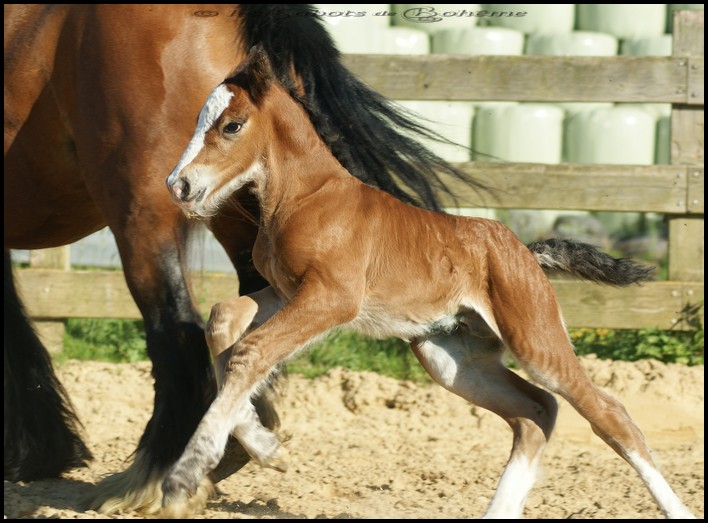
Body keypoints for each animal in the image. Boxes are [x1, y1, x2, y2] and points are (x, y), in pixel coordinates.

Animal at [162, 46, 696, 520]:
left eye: (232, 125)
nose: (178, 185)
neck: (307, 198)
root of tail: (526, 251)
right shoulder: (285, 292)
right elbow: (224, 322)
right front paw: (267, 446)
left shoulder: (332, 298)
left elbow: (251, 352)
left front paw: (184, 476)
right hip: (451, 360)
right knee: (536, 412)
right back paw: (498, 512)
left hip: (534, 339)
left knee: (607, 412)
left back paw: (676, 509)